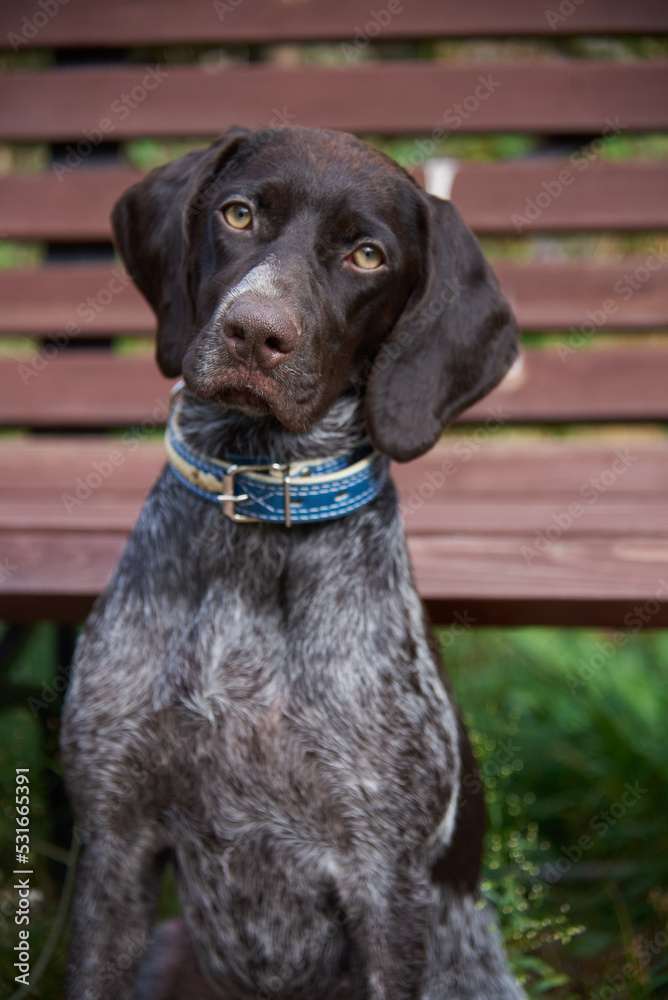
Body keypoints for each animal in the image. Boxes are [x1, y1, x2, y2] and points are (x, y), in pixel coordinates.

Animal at [60, 127, 524, 1000]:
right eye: (240, 214)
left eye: (368, 256)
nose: (254, 332)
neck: (256, 499)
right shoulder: (114, 845)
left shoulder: (387, 885)